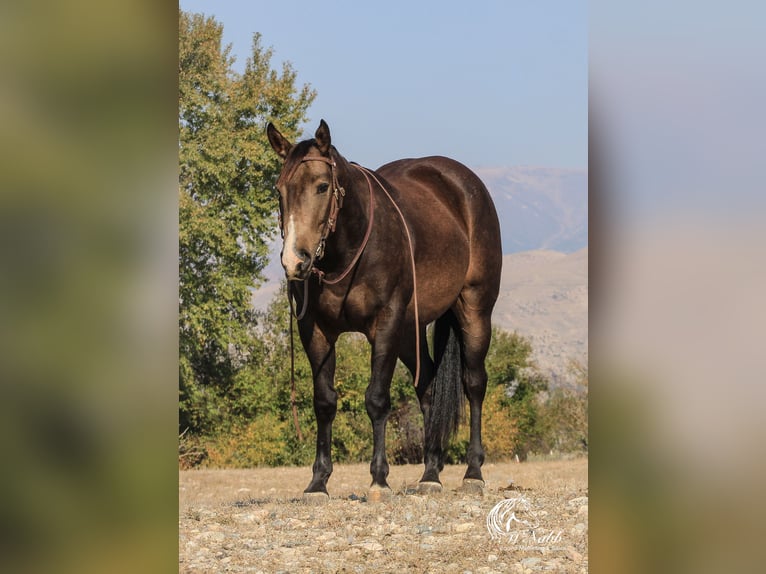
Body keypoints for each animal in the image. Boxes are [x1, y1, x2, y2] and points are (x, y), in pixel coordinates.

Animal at [270, 121, 504, 504]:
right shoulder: (315, 331)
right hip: (410, 332)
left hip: (474, 310)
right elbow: (324, 402)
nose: (295, 261)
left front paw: (379, 479)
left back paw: (473, 472)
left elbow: (377, 399)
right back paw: (431, 474)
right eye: (280, 190)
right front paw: (318, 482)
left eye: (322, 186)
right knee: (428, 388)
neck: (347, 253)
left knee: (474, 384)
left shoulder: (385, 324)